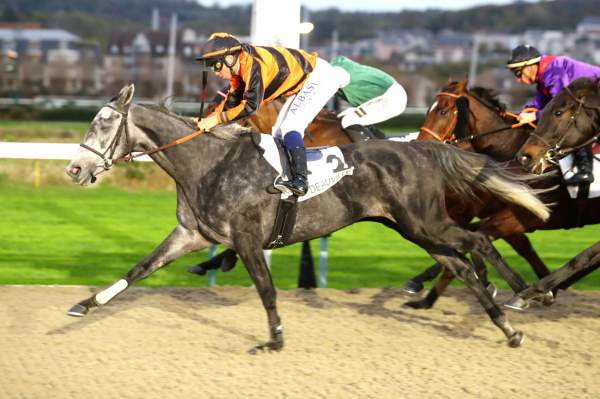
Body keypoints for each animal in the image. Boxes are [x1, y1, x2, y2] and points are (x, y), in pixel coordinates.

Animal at [64, 83, 548, 350]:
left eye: (104, 125)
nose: (75, 170)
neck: (207, 163)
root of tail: (423, 148)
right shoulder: (191, 234)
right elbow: (139, 268)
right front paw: (86, 304)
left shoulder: (246, 239)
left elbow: (266, 289)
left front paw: (275, 338)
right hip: (415, 229)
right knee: (461, 265)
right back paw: (508, 328)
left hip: (425, 222)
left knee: (479, 243)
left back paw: (530, 292)